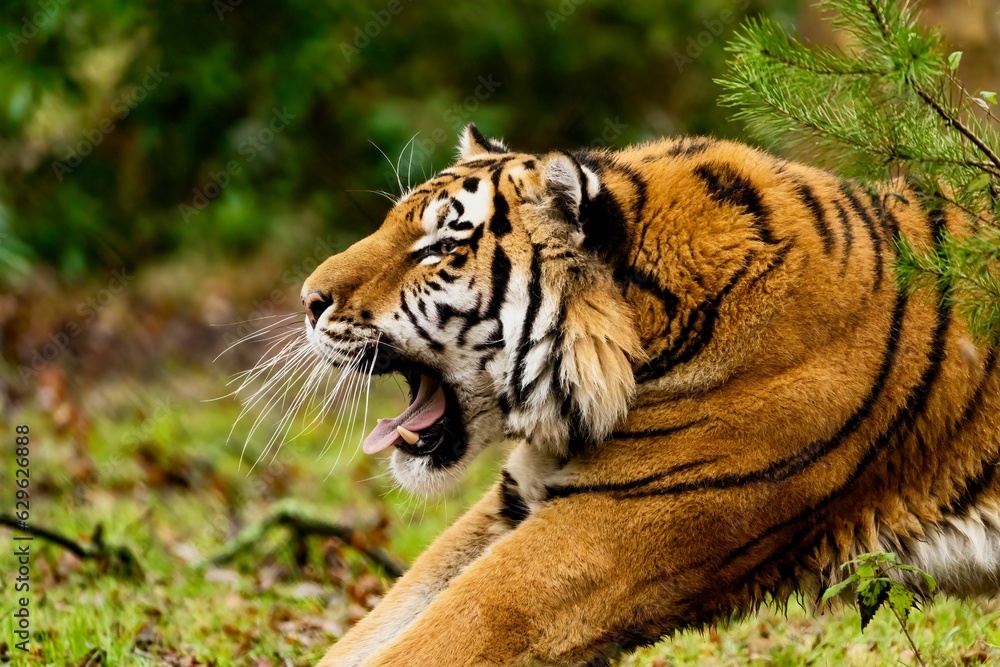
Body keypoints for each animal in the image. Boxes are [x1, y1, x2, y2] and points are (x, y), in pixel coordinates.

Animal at [300, 123, 999, 667]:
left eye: (442, 248)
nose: (308, 300)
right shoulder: (518, 499)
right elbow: (377, 626)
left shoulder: (605, 529)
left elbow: (448, 631)